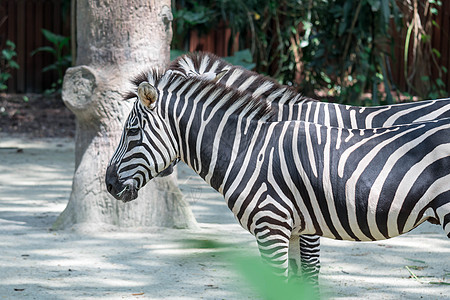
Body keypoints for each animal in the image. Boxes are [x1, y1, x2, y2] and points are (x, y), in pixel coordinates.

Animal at [104, 68, 450, 286]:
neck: (248, 150)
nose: (108, 184)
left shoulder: (272, 227)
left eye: (131, 131)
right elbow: (298, 282)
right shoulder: (295, 228)